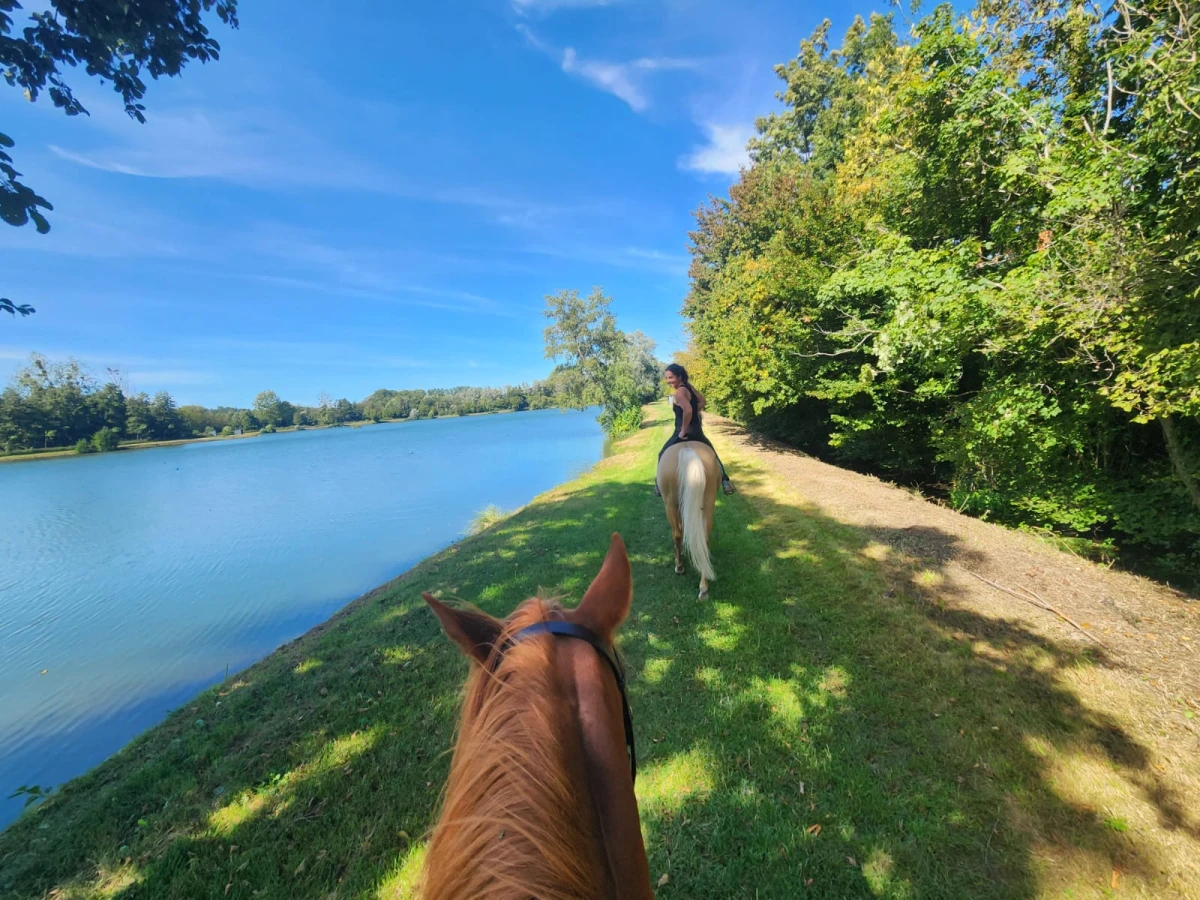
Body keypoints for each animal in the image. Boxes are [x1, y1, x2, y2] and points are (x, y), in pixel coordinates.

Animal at [656, 440, 719, 600]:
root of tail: (686, 449)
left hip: (670, 504)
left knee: (677, 534)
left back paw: (679, 566)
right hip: (708, 504)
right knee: (704, 540)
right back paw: (703, 588)